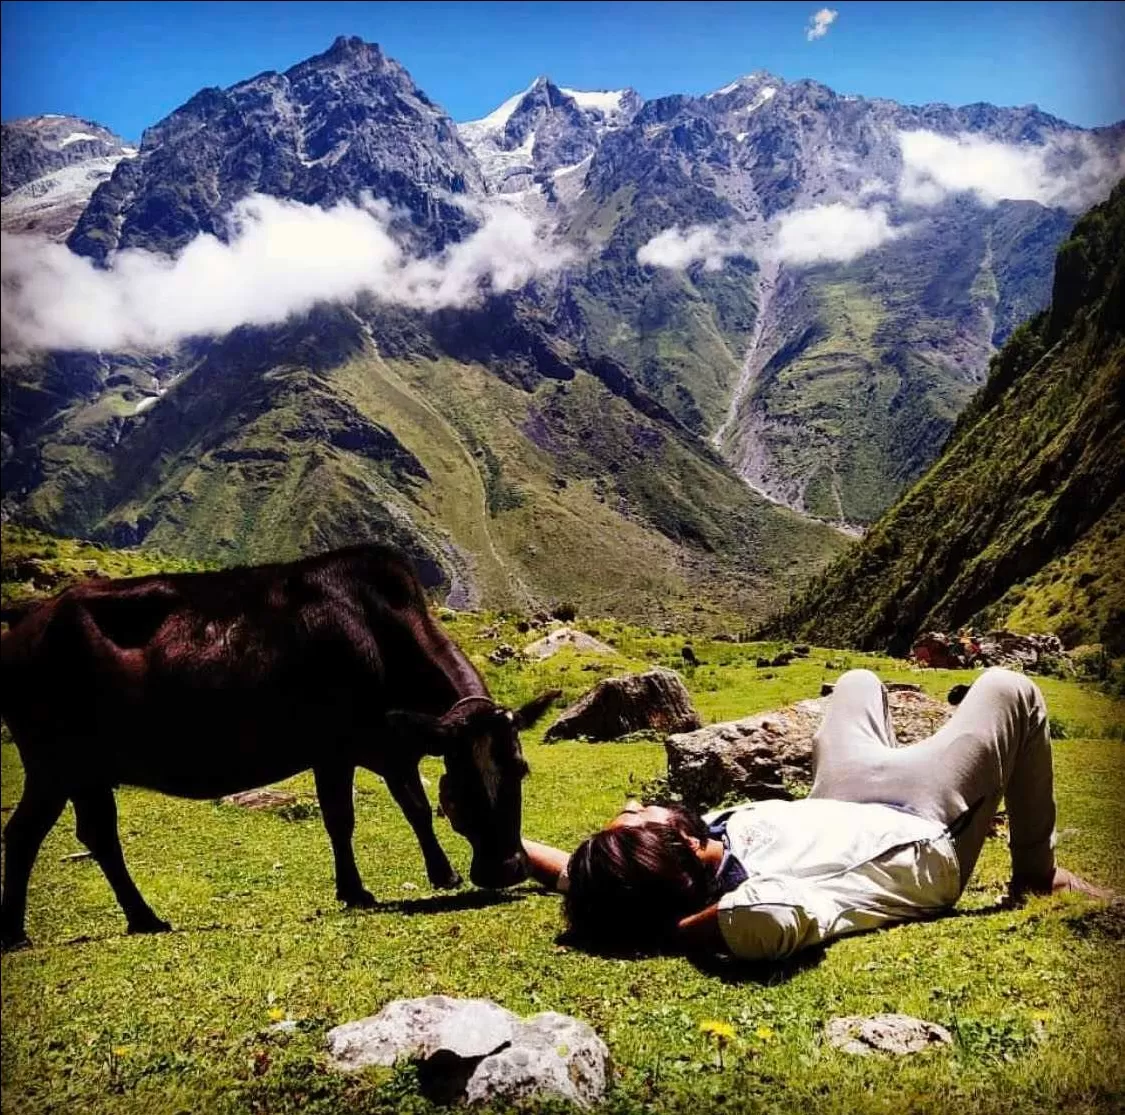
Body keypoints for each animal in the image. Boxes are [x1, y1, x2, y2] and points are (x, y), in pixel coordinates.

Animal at [0, 544, 560, 945]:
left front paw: (436, 874)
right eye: (463, 781)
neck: (380, 635)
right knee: (28, 833)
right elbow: (346, 818)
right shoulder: (337, 749)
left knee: (93, 835)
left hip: (81, 772)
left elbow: (413, 807)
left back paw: (140, 918)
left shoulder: (390, 745)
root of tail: (27, 625)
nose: (507, 869)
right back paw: (24, 932)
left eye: (520, 769)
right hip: (53, 764)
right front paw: (360, 890)